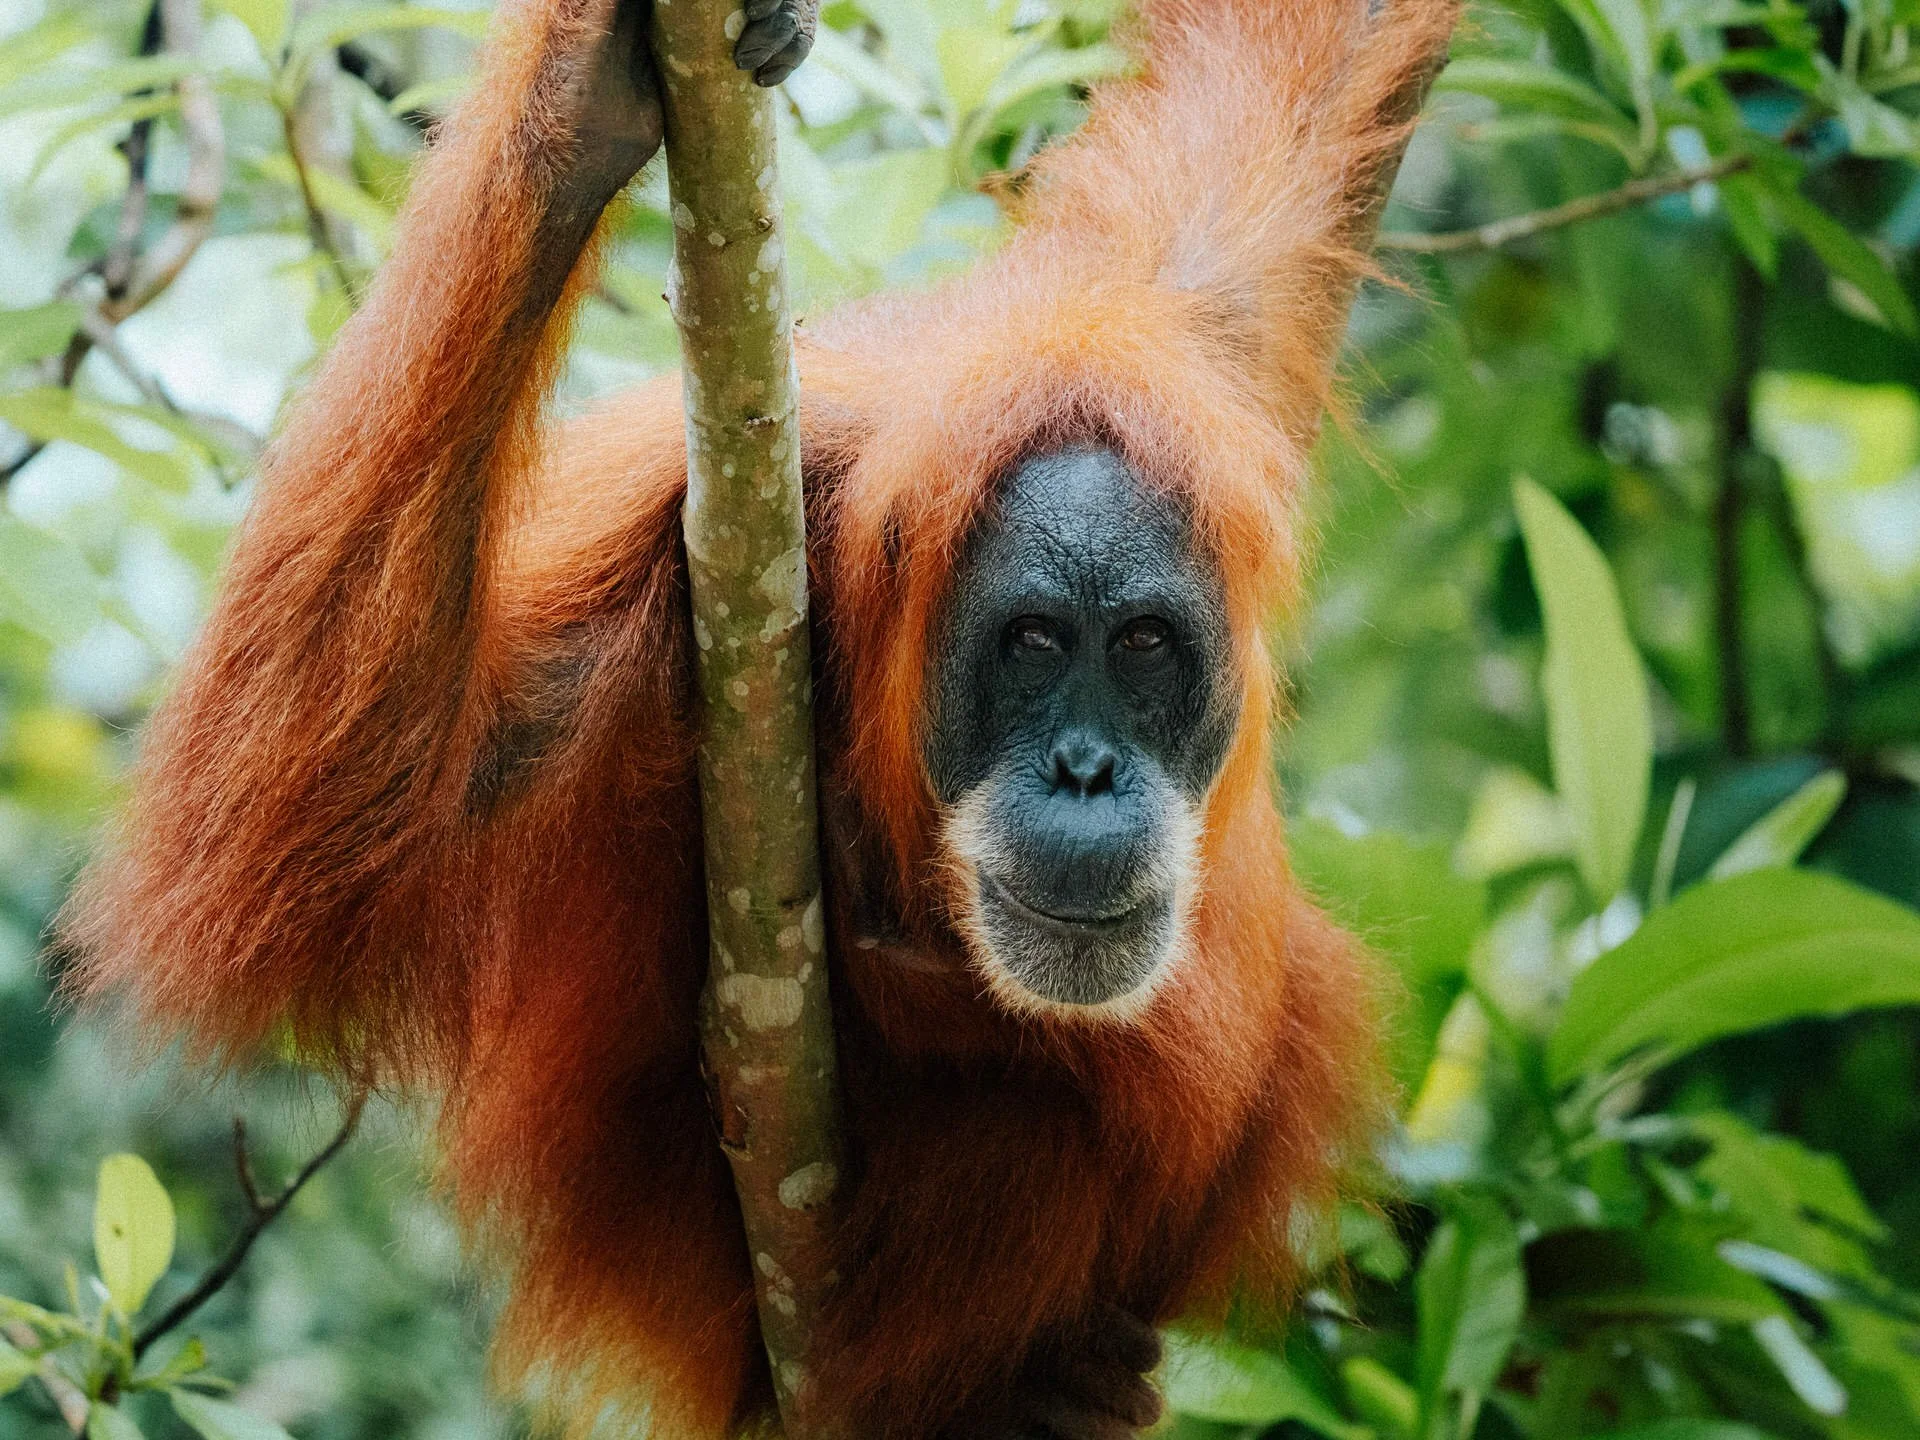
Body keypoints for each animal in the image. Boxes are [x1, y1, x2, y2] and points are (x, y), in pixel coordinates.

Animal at [58, 0, 1460, 1434]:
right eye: (1029, 647)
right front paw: (583, 105)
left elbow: (1318, 59)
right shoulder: (661, 573)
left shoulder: (1204, 317)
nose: (1085, 769)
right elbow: (297, 839)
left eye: (1139, 651)